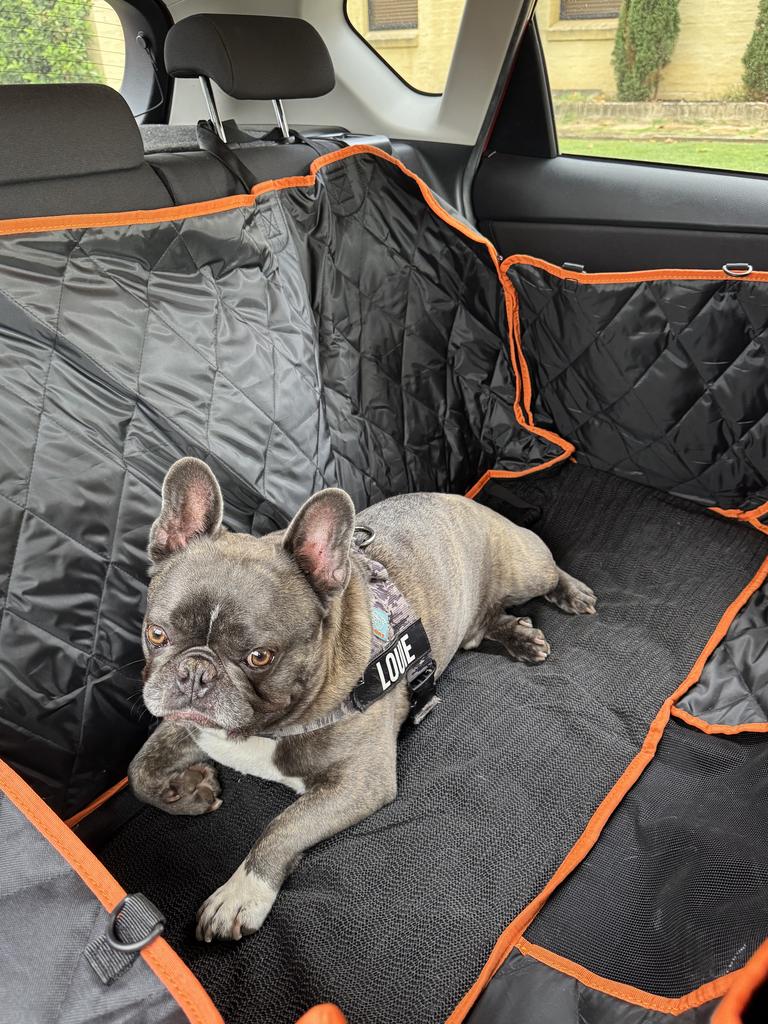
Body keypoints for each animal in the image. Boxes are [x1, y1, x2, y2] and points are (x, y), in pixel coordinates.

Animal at [129, 460, 593, 937]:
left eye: (259, 657)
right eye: (156, 634)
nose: (195, 672)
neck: (265, 729)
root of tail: (459, 499)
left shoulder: (359, 783)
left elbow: (282, 826)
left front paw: (241, 894)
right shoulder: (193, 727)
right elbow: (139, 770)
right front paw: (186, 791)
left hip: (525, 567)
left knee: (549, 571)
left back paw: (570, 595)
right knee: (486, 622)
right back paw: (519, 635)